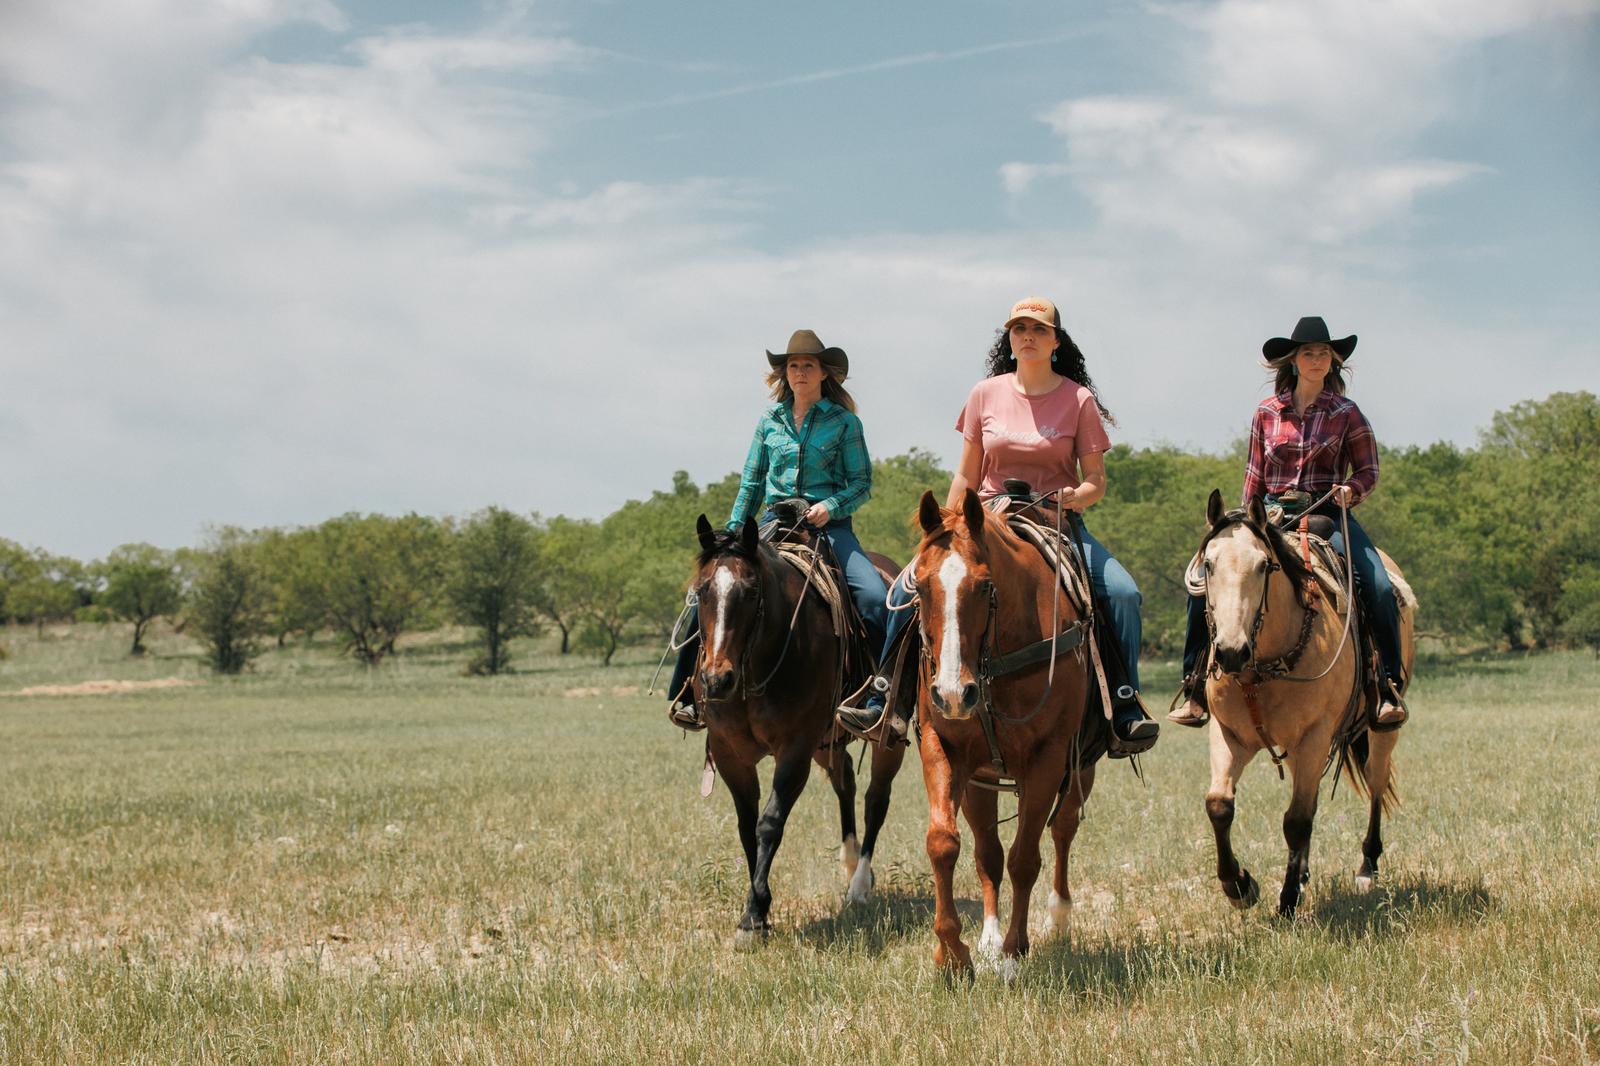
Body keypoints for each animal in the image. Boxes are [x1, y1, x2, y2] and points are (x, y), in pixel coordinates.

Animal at [691, 512, 908, 941]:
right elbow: (746, 828)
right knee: (846, 783)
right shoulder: (729, 754)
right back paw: (849, 861)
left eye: (750, 592)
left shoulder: (795, 750)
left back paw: (860, 883)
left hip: (884, 739)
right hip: (827, 744)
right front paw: (760, 911)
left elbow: (769, 824)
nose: (716, 680)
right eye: (703, 590)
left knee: (876, 799)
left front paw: (752, 917)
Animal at [908, 486, 1107, 973]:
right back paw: (988, 936)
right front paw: (953, 953)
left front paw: (1016, 950)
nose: (952, 693)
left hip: (1080, 769)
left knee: (1061, 830)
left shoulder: (1047, 758)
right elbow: (945, 844)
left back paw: (1058, 919)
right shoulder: (942, 747)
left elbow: (1025, 858)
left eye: (984, 586)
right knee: (987, 853)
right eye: (919, 586)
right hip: (981, 780)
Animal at [1203, 489, 1414, 915]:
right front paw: (1239, 886)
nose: (1231, 651)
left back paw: (1367, 867)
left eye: (1263, 565)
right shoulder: (1228, 733)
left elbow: (1297, 820)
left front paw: (1286, 902)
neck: (1261, 670)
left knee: (1376, 782)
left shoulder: (1314, 737)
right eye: (1208, 564)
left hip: (1380, 732)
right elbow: (1219, 805)